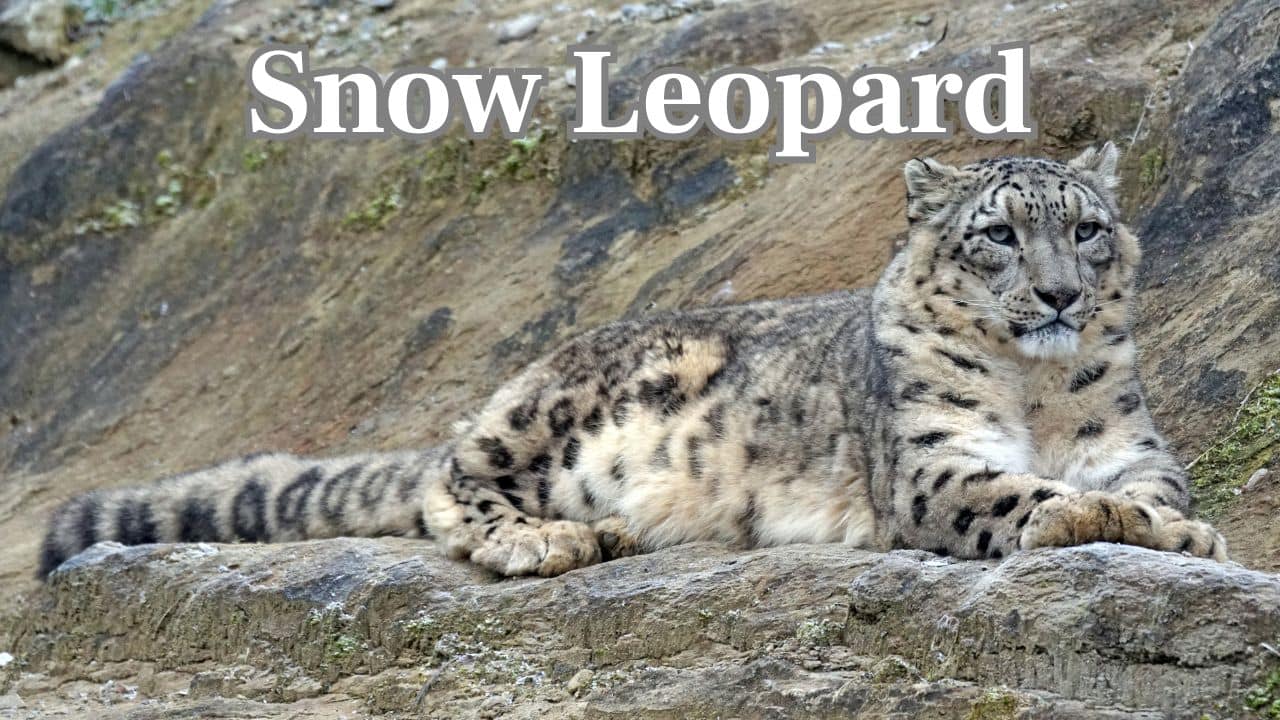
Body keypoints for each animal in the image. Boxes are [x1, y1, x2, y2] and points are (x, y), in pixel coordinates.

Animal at [38, 142, 1228, 580]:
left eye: (1085, 229)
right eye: (998, 234)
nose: (1059, 295)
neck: (1036, 392)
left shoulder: (1130, 441)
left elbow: (1148, 488)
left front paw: (1173, 527)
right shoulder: (932, 460)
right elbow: (1022, 493)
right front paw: (1105, 521)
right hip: (548, 412)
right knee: (448, 480)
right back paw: (549, 539)